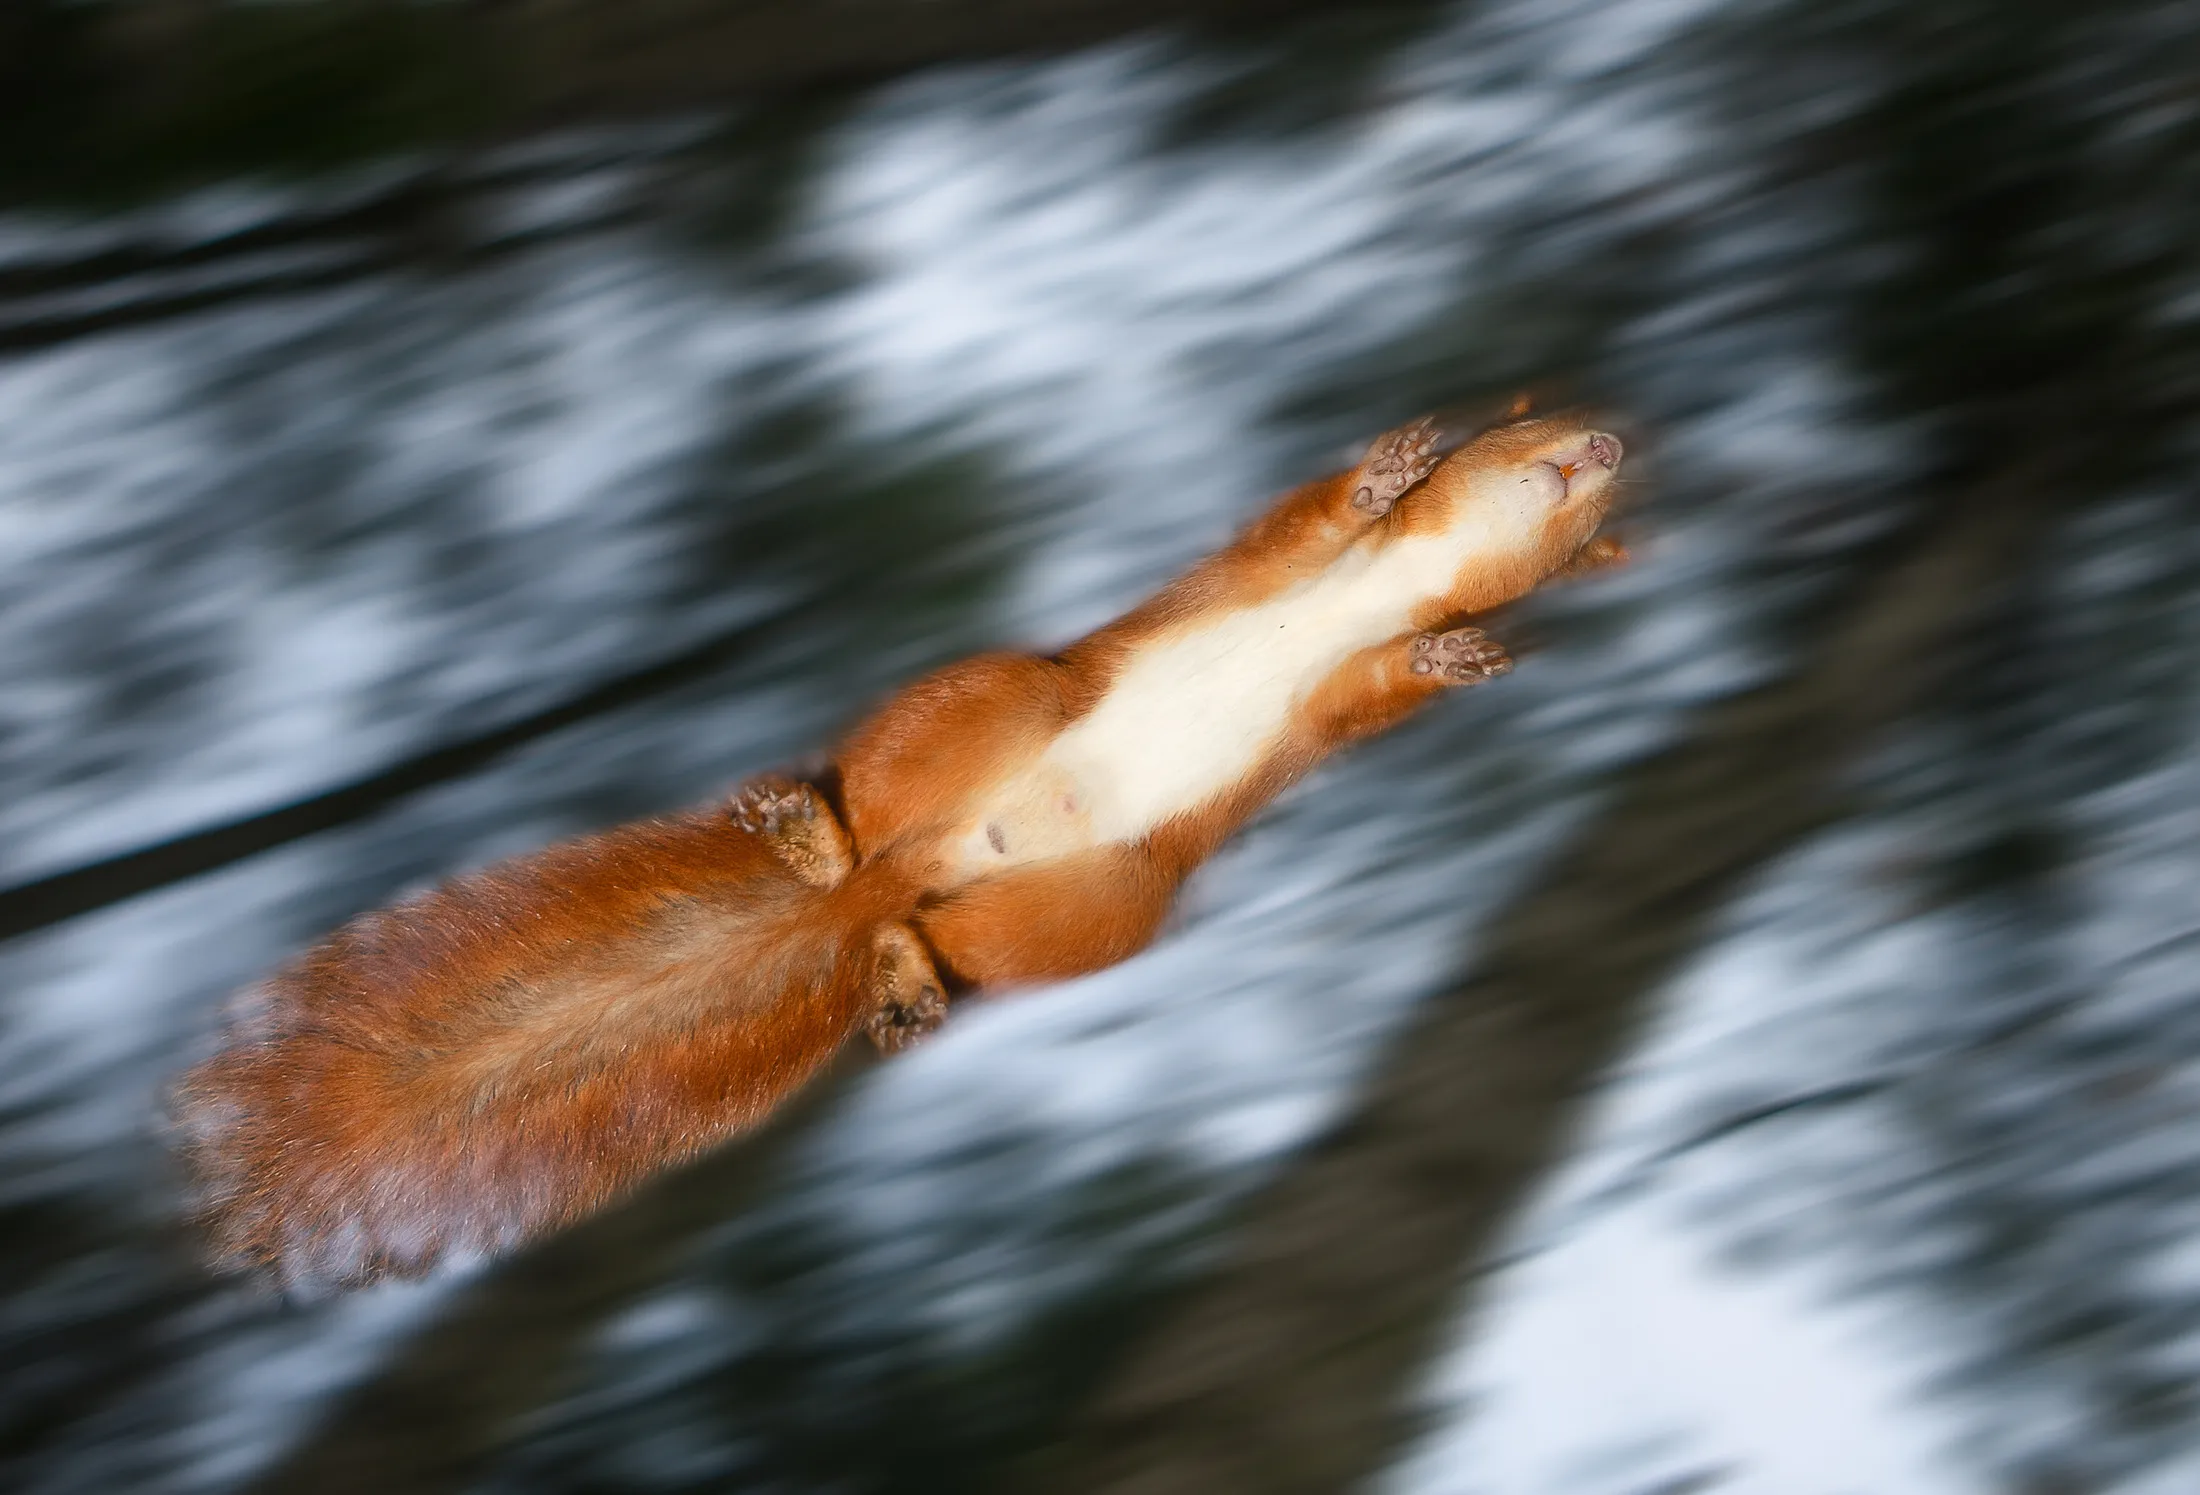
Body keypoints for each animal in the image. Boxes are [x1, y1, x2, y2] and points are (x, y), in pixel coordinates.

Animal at [170, 407, 1629, 1290]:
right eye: (1530, 429)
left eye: (1599, 522)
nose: (1609, 437)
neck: (1396, 581)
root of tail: (928, 863)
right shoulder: (1286, 560)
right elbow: (1310, 518)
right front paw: (1393, 463)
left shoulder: (1344, 689)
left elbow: (1388, 681)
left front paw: (1464, 652)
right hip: (983, 703)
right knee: (872, 826)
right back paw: (814, 839)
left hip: (1085, 910)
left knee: (920, 927)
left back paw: (902, 975)